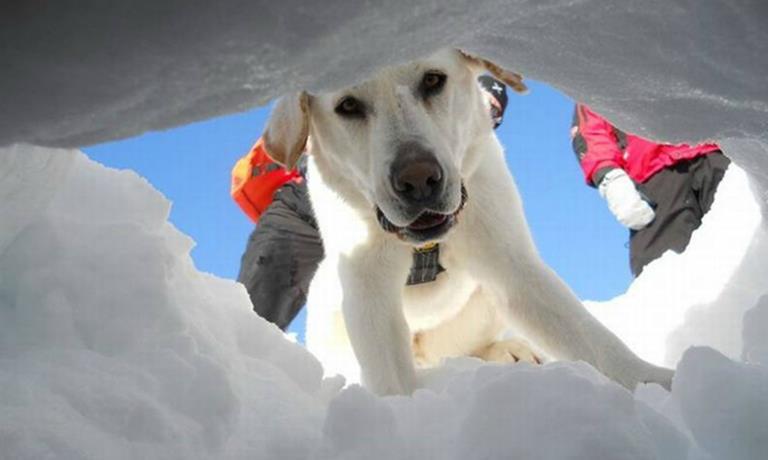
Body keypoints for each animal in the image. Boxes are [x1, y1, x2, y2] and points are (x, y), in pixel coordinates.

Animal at [264, 49, 672, 396]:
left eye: (432, 80)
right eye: (348, 105)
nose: (418, 180)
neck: (424, 245)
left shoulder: (512, 264)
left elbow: (591, 337)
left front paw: (656, 384)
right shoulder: (368, 290)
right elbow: (391, 380)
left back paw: (510, 350)